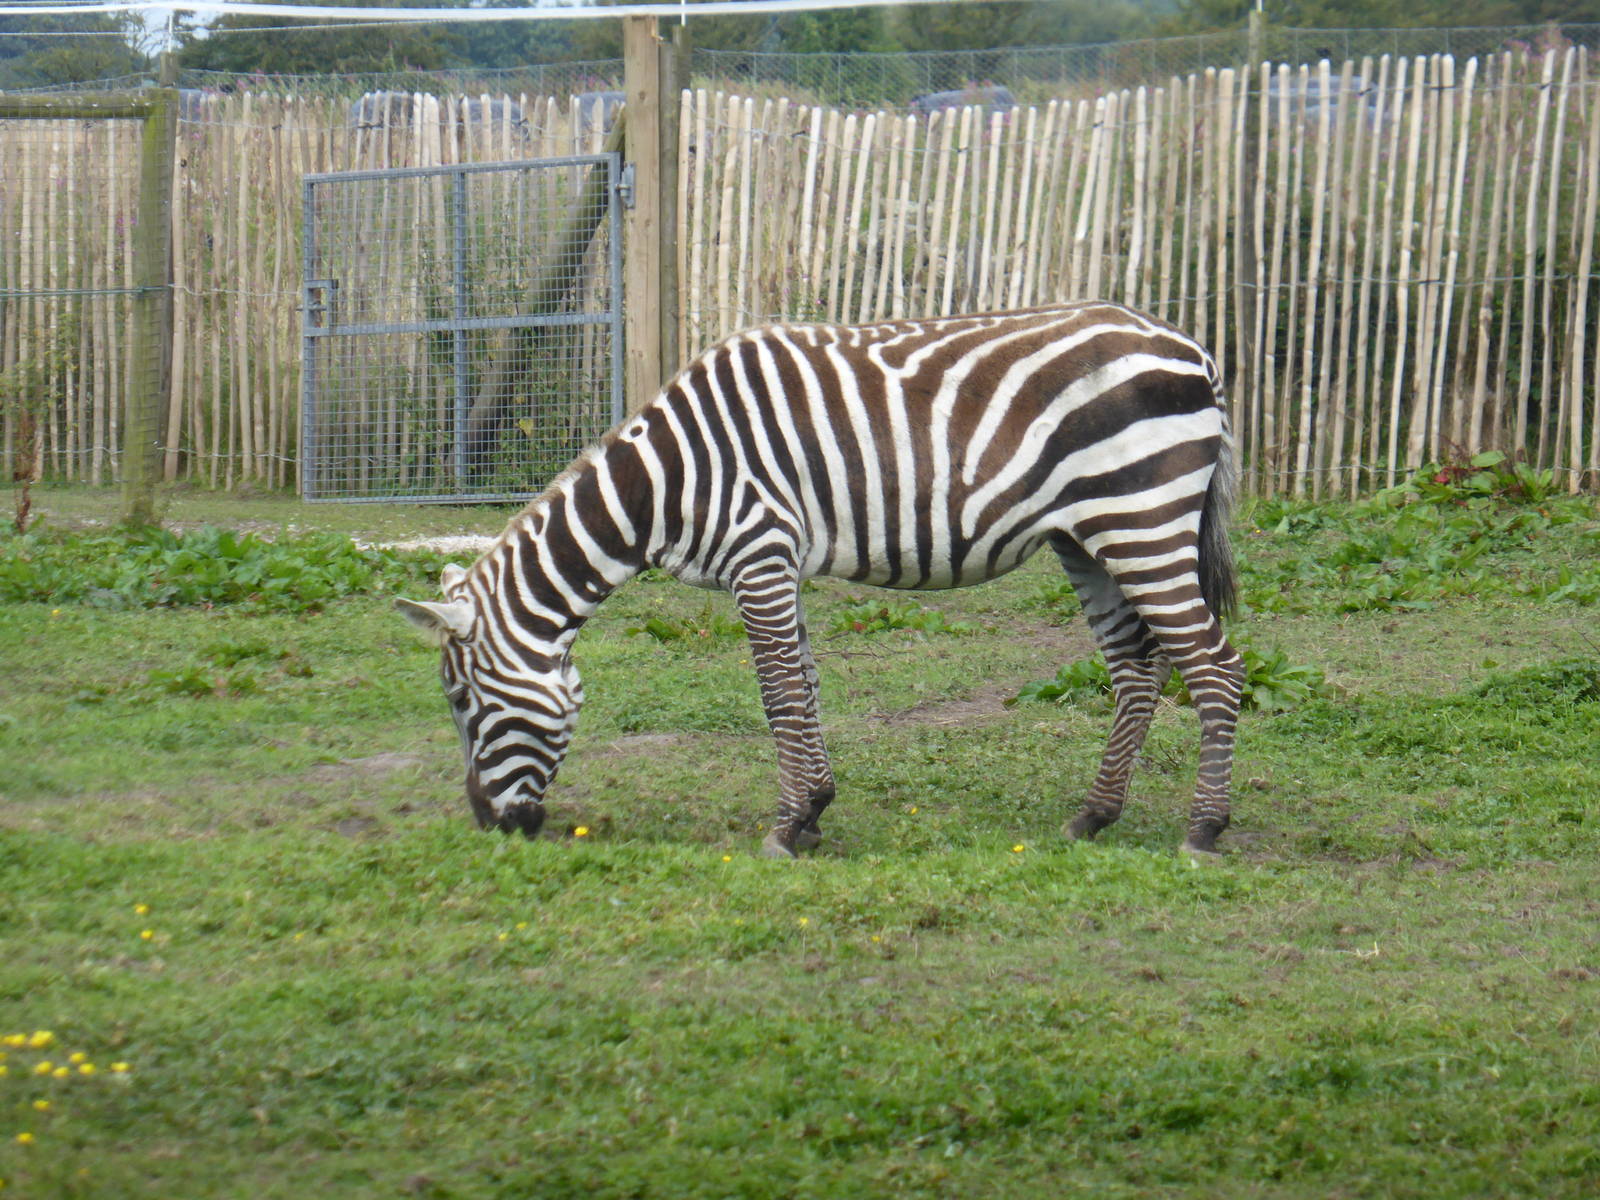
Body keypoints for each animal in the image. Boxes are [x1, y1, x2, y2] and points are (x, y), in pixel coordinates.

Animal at [397, 302, 1245, 858]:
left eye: (463, 702)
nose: (491, 826)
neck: (663, 481)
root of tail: (1192, 350)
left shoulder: (758, 552)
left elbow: (777, 695)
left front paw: (782, 828)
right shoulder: (779, 563)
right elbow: (803, 685)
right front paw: (813, 812)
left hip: (1141, 519)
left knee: (1216, 666)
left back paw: (1203, 828)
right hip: (1088, 538)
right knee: (1137, 669)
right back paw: (1094, 816)